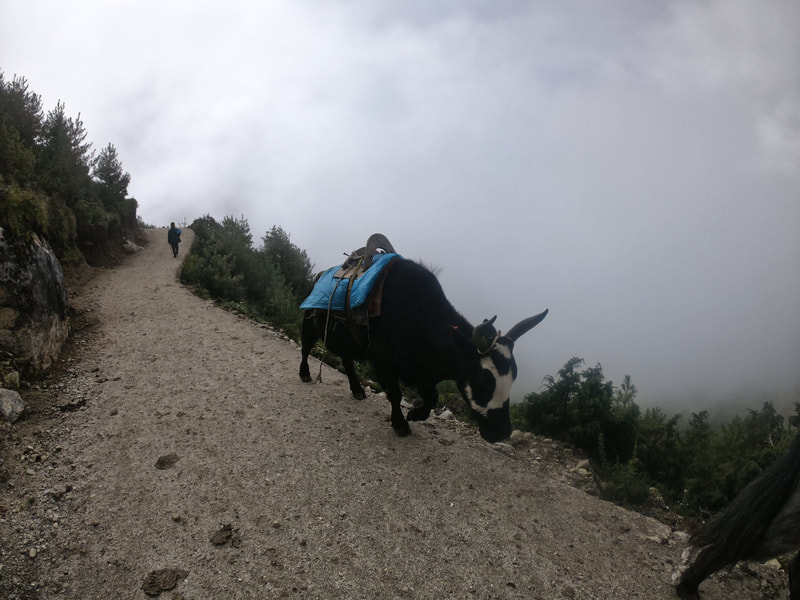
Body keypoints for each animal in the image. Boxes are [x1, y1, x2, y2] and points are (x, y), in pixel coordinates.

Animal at [298, 256, 547, 443]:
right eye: (485, 380)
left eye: (513, 378)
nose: (501, 432)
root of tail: (320, 275)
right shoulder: (383, 361)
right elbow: (396, 393)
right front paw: (401, 424)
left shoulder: (419, 371)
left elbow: (432, 397)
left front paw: (415, 414)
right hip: (310, 322)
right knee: (307, 346)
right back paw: (305, 374)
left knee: (347, 360)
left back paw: (358, 391)